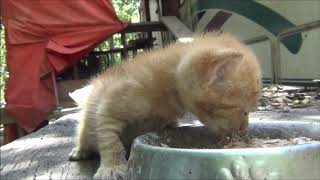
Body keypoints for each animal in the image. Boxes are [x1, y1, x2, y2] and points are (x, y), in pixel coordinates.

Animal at [69, 33, 262, 179]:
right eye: (244, 111)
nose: (244, 128)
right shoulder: (108, 108)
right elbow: (110, 141)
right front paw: (112, 167)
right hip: (87, 123)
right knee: (84, 135)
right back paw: (79, 151)